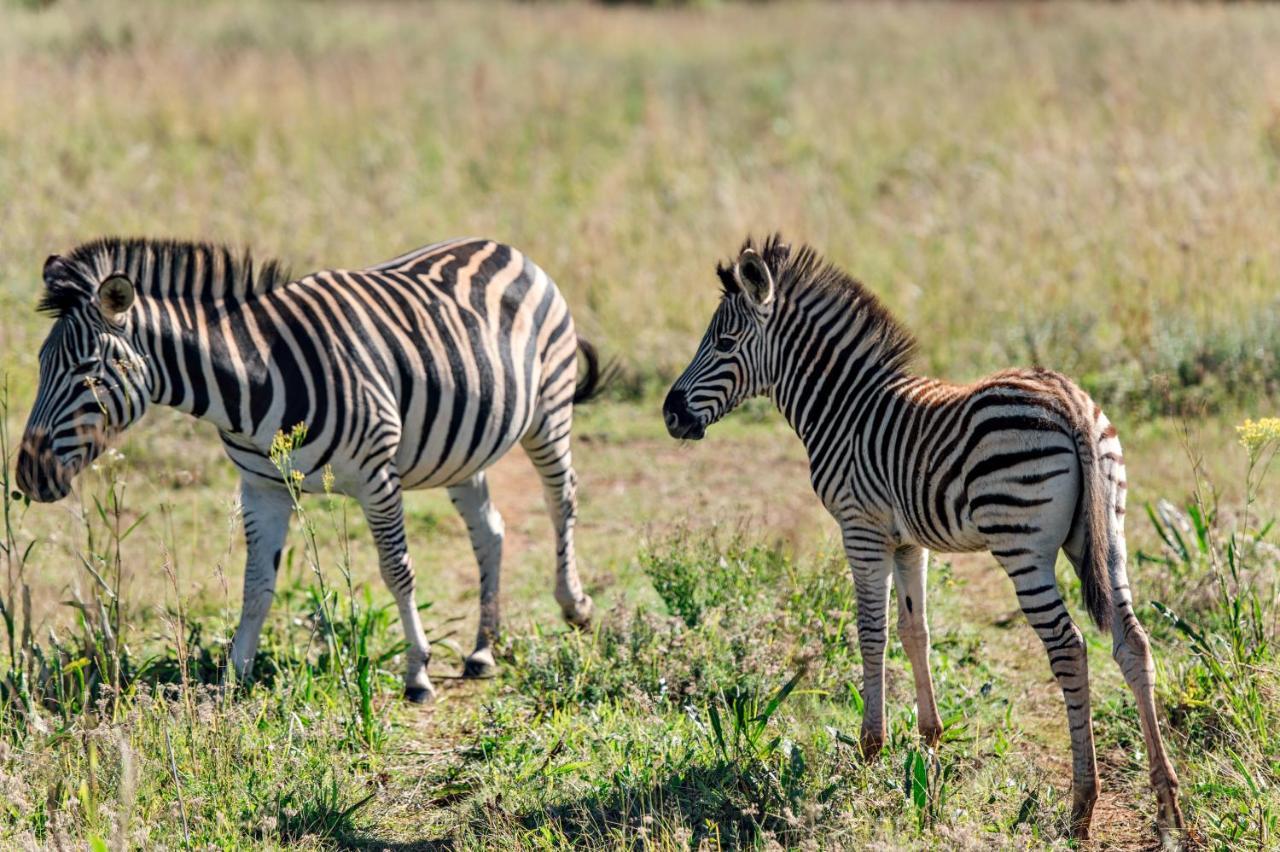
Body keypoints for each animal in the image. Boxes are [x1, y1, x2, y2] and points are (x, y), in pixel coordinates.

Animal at [13, 235, 604, 701]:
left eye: (88, 374)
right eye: (40, 366)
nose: (26, 476)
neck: (253, 384)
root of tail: (502, 247)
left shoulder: (377, 477)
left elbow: (397, 571)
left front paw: (417, 672)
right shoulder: (261, 488)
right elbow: (256, 585)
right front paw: (233, 678)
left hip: (548, 412)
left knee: (563, 499)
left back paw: (574, 606)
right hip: (464, 449)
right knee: (490, 531)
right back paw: (483, 649)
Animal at [665, 235, 1182, 839]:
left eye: (724, 342)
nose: (670, 414)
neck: (843, 407)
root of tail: (1070, 402)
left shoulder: (861, 528)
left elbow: (872, 633)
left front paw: (870, 749)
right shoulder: (909, 541)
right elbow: (917, 632)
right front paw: (929, 746)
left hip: (1022, 546)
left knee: (1069, 648)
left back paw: (1081, 808)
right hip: (1106, 537)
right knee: (1133, 643)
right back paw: (1168, 807)